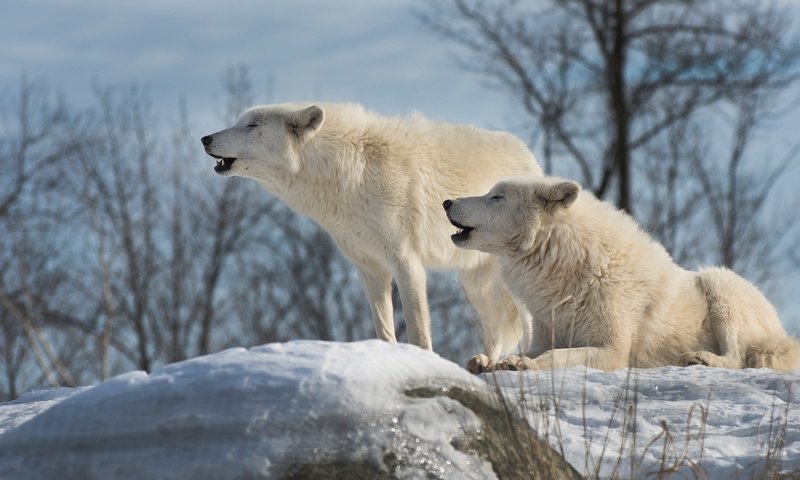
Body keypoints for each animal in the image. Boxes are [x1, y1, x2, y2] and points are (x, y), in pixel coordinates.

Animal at [203, 100, 540, 364]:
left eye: (251, 125)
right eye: (240, 123)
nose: (205, 138)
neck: (350, 174)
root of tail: (527, 154)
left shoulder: (406, 260)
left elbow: (418, 329)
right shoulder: (369, 268)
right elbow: (384, 328)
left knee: (525, 320)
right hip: (474, 282)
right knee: (496, 324)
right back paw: (487, 363)